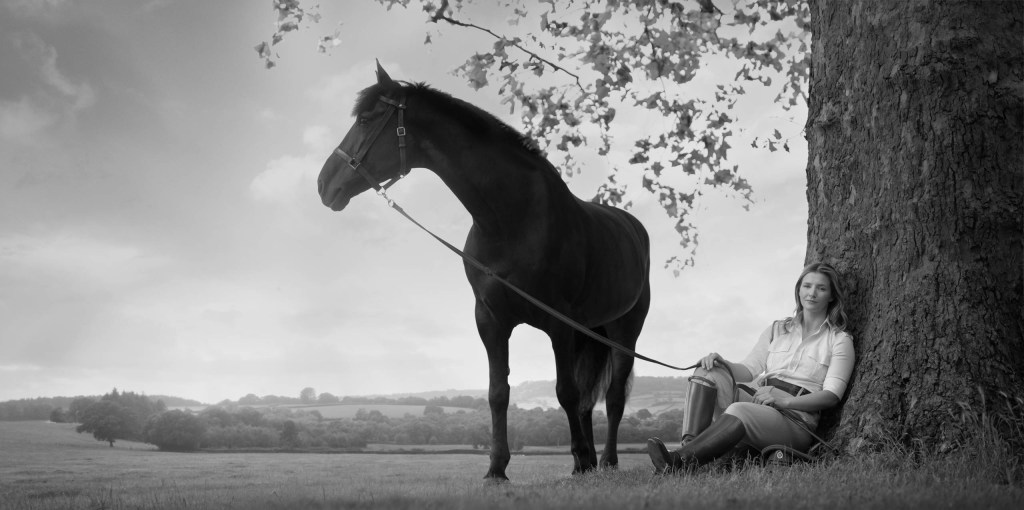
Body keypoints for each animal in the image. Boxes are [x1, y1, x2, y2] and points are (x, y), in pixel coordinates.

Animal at [317, 63, 651, 480]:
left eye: (365, 119)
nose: (323, 184)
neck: (510, 221)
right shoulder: (490, 320)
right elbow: (498, 393)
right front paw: (497, 468)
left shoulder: (558, 323)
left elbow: (565, 392)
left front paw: (579, 458)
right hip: (587, 331)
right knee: (590, 400)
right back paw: (587, 463)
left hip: (623, 332)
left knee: (614, 397)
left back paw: (603, 460)